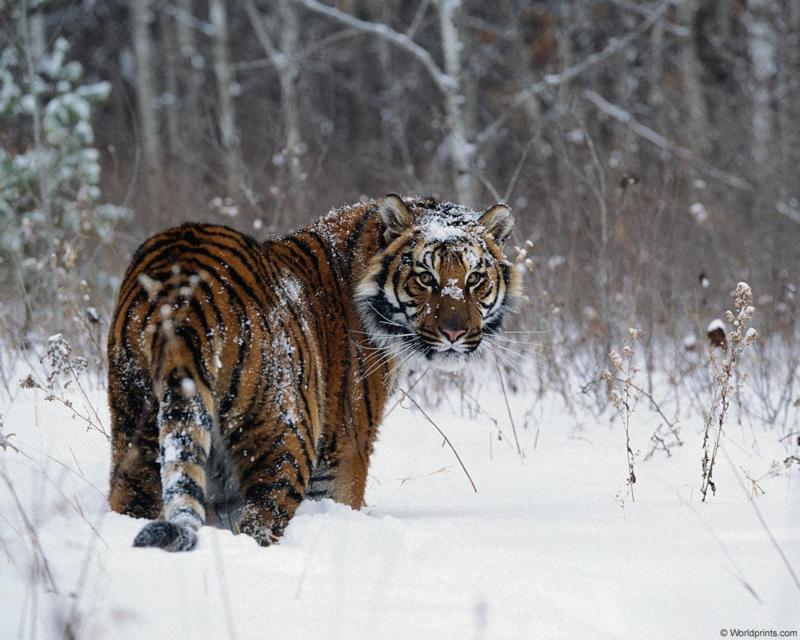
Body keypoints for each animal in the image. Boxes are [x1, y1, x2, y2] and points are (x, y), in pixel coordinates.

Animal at [109, 194, 520, 552]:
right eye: (425, 278)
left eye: (474, 279)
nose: (454, 333)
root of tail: (181, 295)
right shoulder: (344, 450)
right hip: (285, 438)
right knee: (260, 523)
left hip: (135, 428)